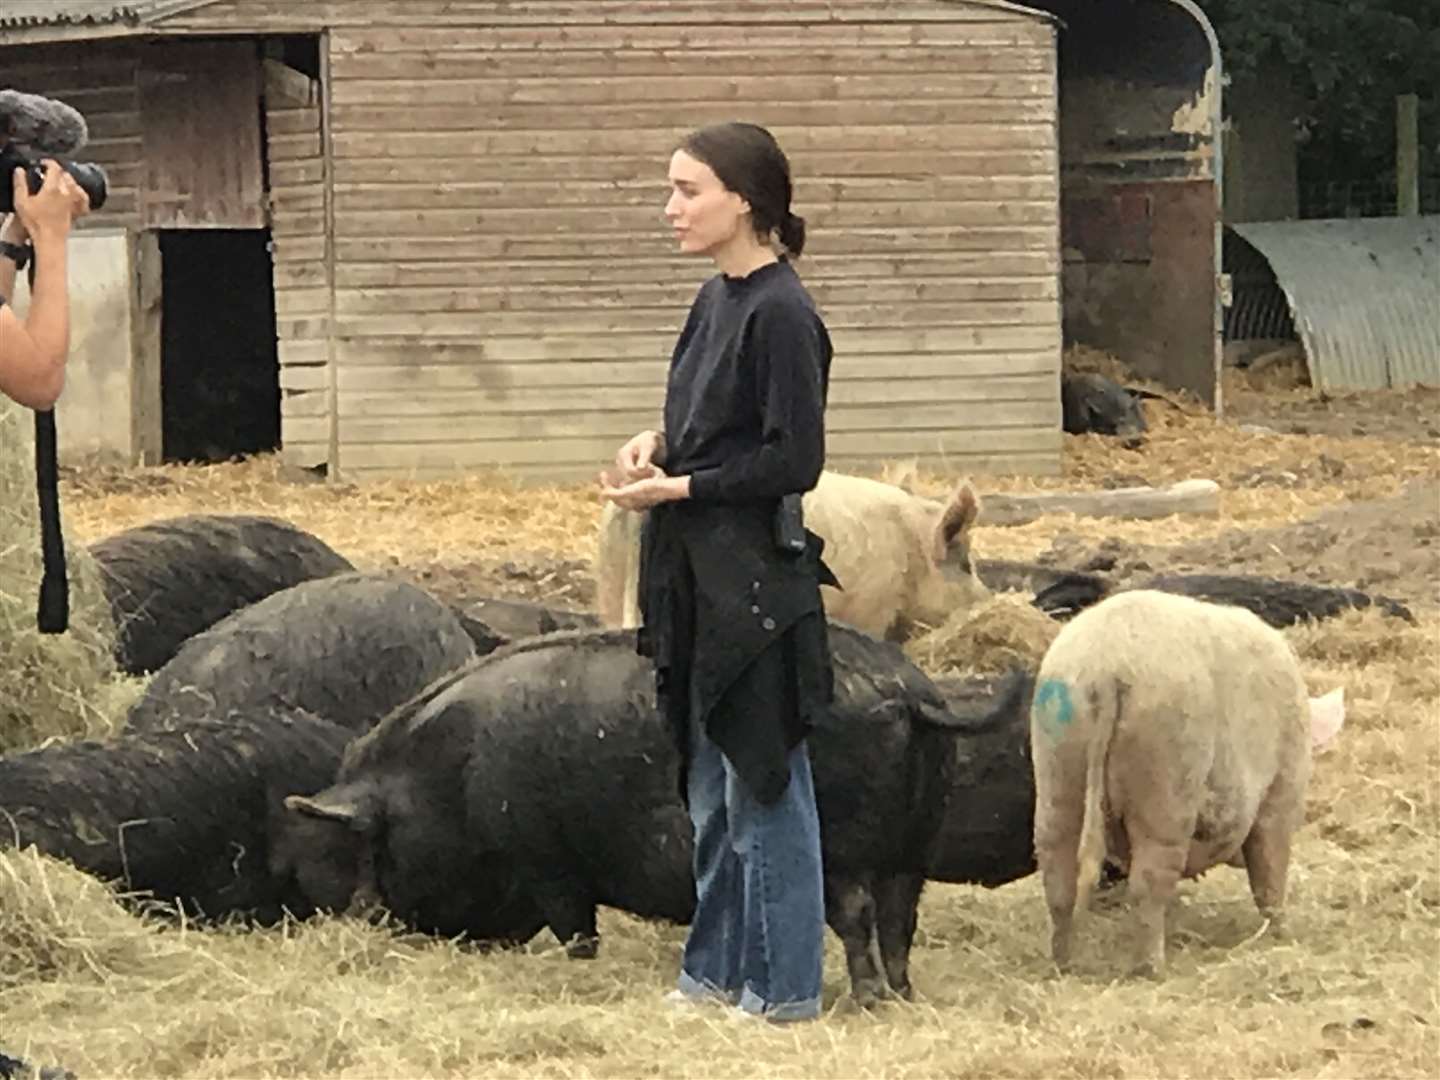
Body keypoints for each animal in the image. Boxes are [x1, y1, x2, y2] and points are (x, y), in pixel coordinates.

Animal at [277, 624, 1025, 1008]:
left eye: (375, 846)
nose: (367, 919)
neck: (444, 781)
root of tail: (908, 691)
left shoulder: (547, 859)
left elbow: (577, 931)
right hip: (916, 841)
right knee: (901, 918)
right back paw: (903, 995)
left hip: (844, 844)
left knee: (856, 913)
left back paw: (865, 999)